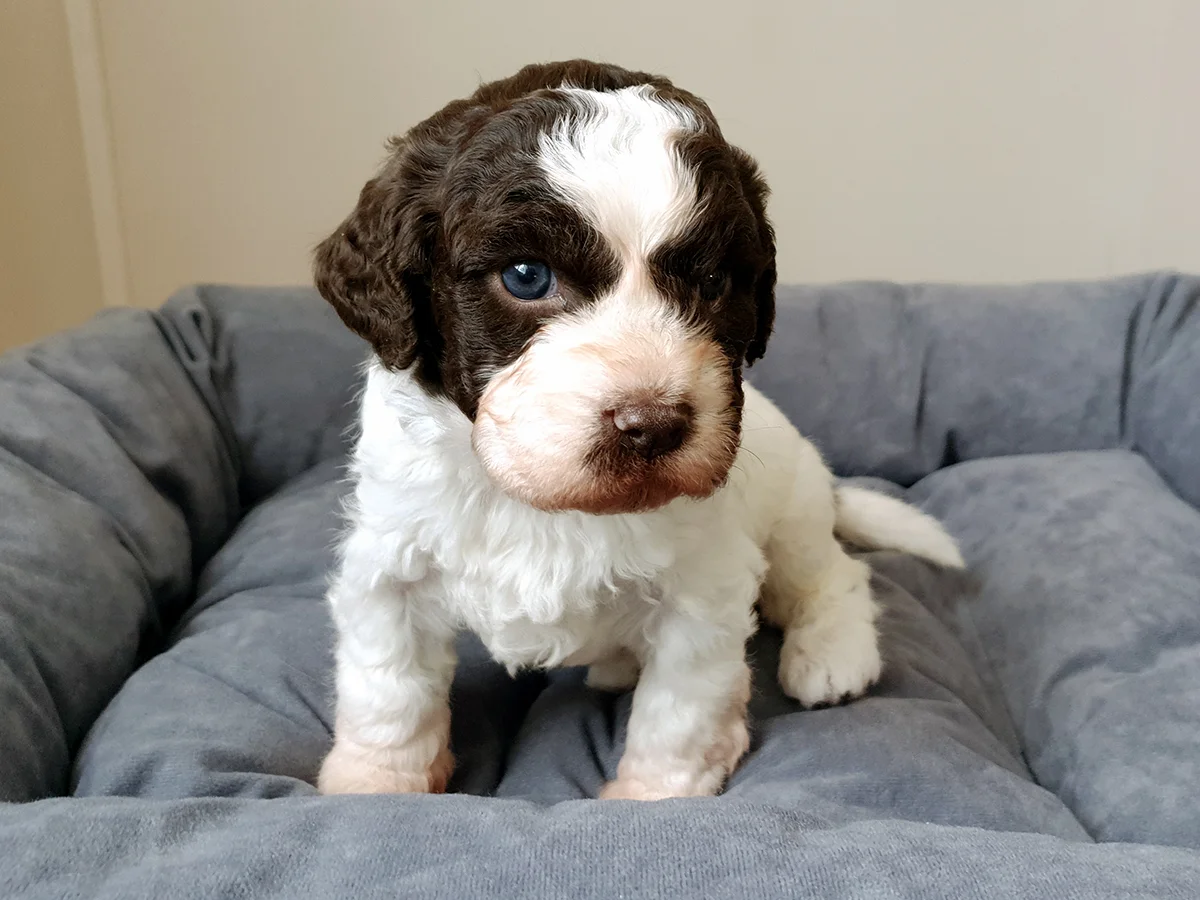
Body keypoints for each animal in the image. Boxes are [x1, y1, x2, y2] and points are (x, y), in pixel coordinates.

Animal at [312, 60, 964, 801]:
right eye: (526, 276)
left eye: (712, 282)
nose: (652, 426)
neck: (541, 506)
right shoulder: (390, 558)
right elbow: (388, 685)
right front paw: (374, 785)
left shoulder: (703, 589)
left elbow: (680, 707)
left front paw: (655, 797)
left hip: (793, 512)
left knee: (832, 575)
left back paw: (833, 654)